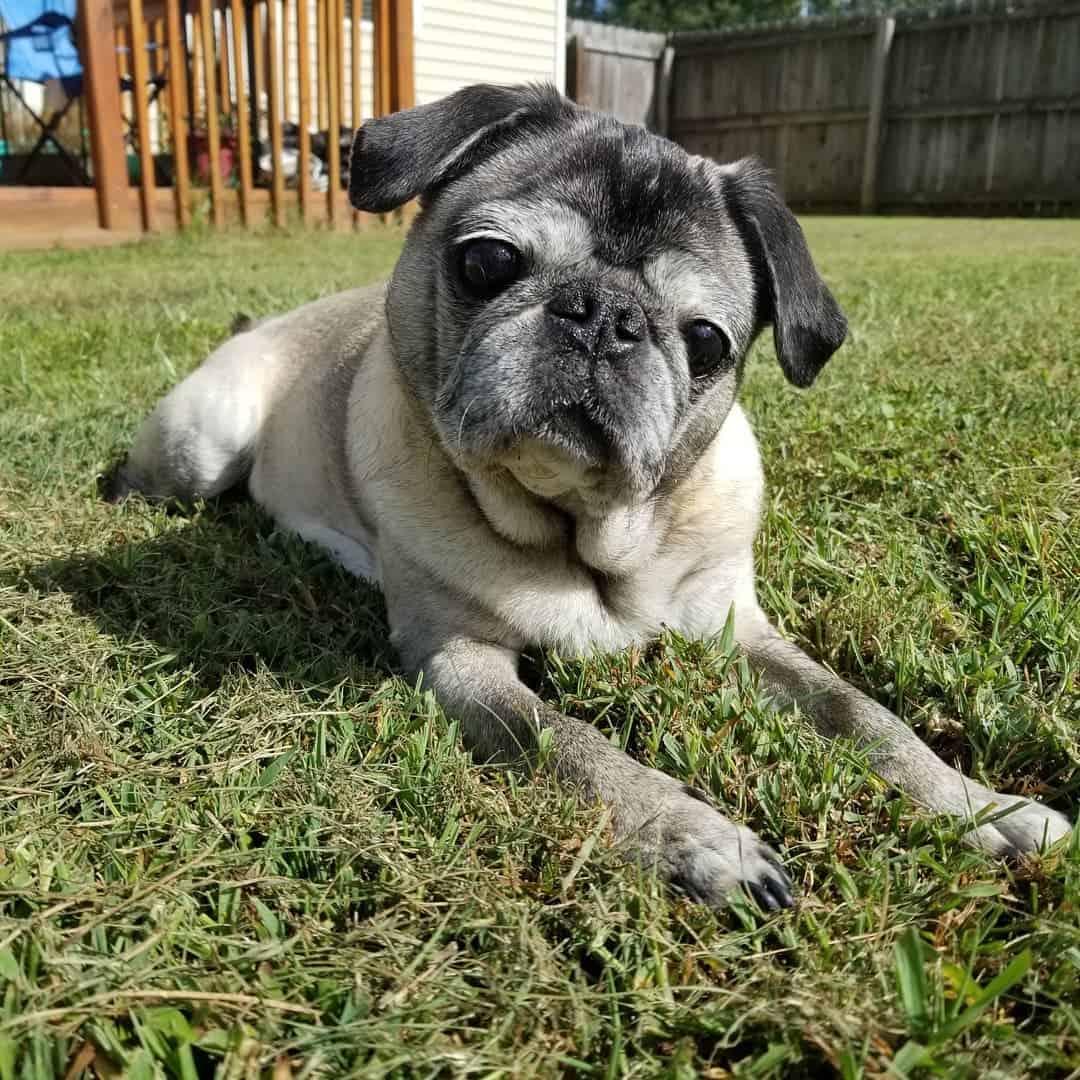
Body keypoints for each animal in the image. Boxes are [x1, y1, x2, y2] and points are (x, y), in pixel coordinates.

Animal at [109, 86, 1071, 911]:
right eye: (488, 260)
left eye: (706, 342)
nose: (605, 316)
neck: (587, 534)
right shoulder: (457, 659)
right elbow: (568, 742)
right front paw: (697, 838)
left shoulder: (739, 632)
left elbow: (864, 715)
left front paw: (982, 807)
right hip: (205, 441)